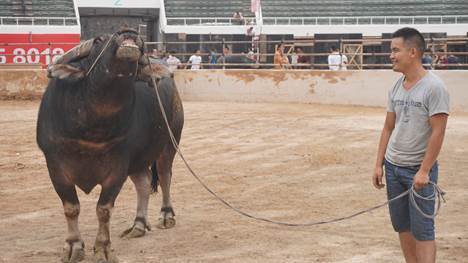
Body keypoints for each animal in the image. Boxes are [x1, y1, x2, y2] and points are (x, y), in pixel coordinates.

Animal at [36, 27, 183, 262]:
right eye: (98, 40)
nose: (129, 32)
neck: (92, 129)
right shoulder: (55, 166)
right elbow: (71, 208)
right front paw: (73, 246)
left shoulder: (118, 167)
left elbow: (103, 209)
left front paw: (102, 248)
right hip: (139, 159)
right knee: (143, 182)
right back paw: (138, 225)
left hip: (169, 144)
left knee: (164, 176)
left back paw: (166, 215)